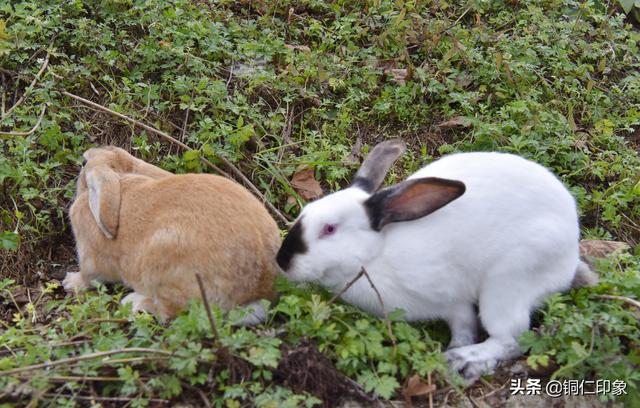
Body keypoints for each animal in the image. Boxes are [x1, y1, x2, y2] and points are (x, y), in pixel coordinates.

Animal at [63, 147, 282, 322]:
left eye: (84, 163)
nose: (85, 155)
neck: (121, 177)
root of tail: (257, 292)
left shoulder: (91, 258)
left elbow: (89, 275)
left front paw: (70, 282)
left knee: (169, 312)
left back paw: (134, 302)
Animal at [278, 139, 596, 382]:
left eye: (329, 229)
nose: (282, 261)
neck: (376, 254)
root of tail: (569, 256)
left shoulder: (450, 298)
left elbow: (466, 325)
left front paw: (454, 350)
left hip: (508, 284)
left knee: (511, 338)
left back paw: (464, 361)